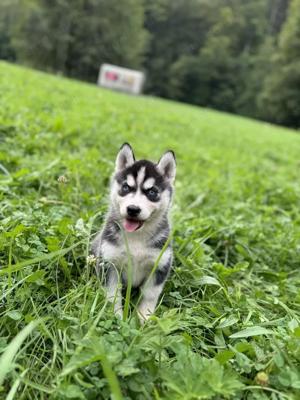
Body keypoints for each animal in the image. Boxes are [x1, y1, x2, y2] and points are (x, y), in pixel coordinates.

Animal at [91, 144, 176, 322]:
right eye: (125, 187)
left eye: (152, 192)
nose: (133, 209)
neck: (136, 238)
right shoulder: (110, 265)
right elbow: (113, 295)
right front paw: (115, 317)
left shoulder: (159, 266)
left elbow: (150, 295)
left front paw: (143, 319)